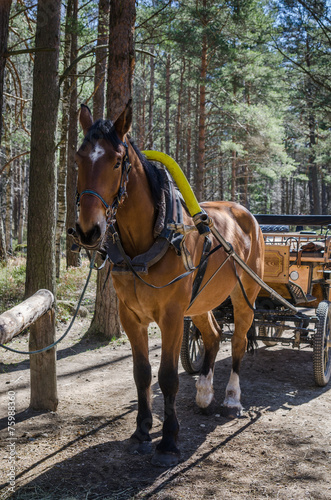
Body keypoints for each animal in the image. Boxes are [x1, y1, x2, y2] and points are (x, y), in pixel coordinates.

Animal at [74, 99, 264, 466]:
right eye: (78, 158)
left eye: (116, 161)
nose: (89, 230)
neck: (148, 240)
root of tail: (244, 212)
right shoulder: (130, 316)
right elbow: (142, 374)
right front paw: (141, 431)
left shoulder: (173, 316)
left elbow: (167, 377)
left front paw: (169, 440)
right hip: (201, 299)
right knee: (213, 335)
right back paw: (204, 392)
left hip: (244, 293)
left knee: (237, 341)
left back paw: (231, 399)